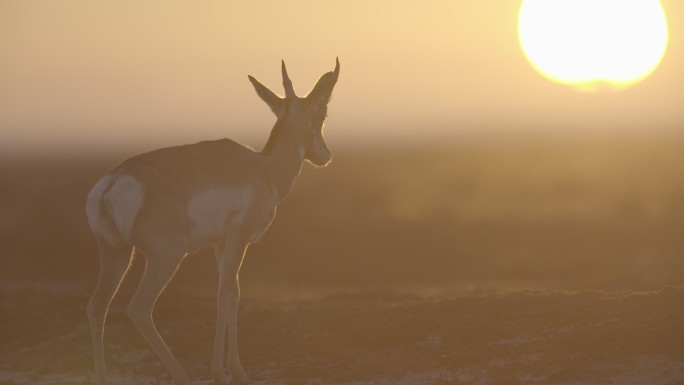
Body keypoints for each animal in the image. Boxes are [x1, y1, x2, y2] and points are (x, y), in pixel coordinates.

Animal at [85, 58, 340, 382]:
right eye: (321, 114)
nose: (325, 155)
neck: (263, 168)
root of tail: (112, 182)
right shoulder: (237, 240)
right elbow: (225, 291)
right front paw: (223, 371)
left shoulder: (221, 245)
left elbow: (234, 293)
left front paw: (237, 370)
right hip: (166, 257)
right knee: (139, 308)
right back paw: (182, 376)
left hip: (117, 254)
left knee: (97, 307)